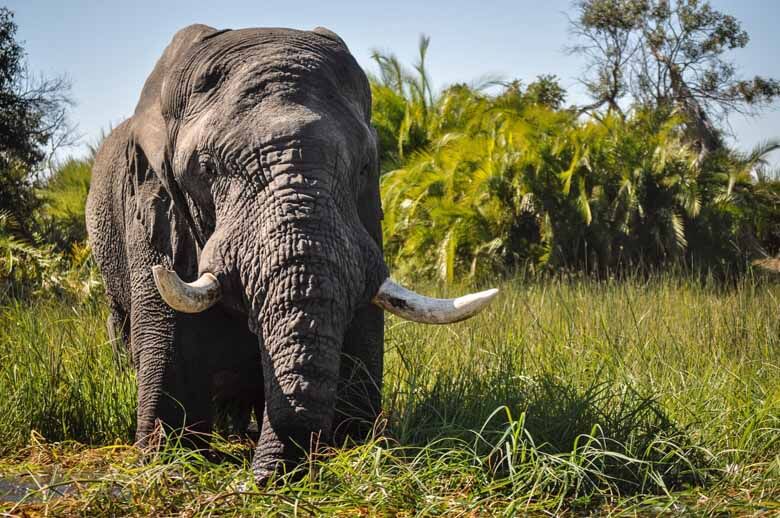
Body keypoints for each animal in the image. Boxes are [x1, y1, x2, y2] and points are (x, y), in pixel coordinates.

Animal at [87, 22, 500, 482]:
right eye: (207, 169)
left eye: (364, 167)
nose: (267, 479)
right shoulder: (153, 205)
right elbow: (171, 338)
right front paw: (166, 460)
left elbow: (361, 332)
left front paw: (356, 446)